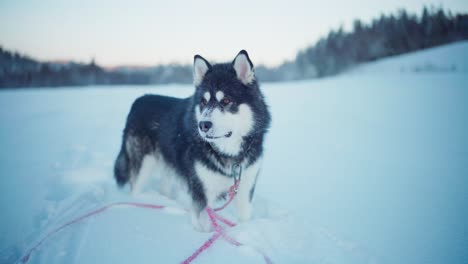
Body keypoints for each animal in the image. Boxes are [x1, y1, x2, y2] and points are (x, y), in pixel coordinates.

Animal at [113, 50, 270, 231]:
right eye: (203, 101)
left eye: (226, 101)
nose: (203, 125)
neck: (228, 153)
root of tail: (139, 100)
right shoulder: (200, 192)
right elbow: (202, 224)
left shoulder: (245, 188)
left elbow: (245, 218)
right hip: (143, 166)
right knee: (135, 188)